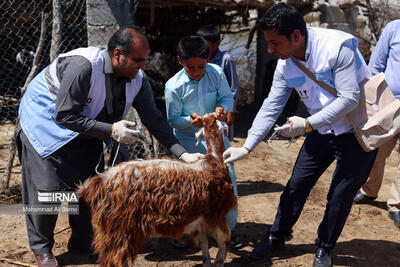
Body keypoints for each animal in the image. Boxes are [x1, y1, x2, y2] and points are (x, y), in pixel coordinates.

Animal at [78, 113, 238, 267]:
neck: (214, 160)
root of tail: (97, 182)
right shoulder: (216, 213)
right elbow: (224, 239)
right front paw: (219, 262)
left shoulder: (201, 219)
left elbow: (204, 245)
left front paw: (208, 263)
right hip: (118, 229)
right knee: (114, 260)